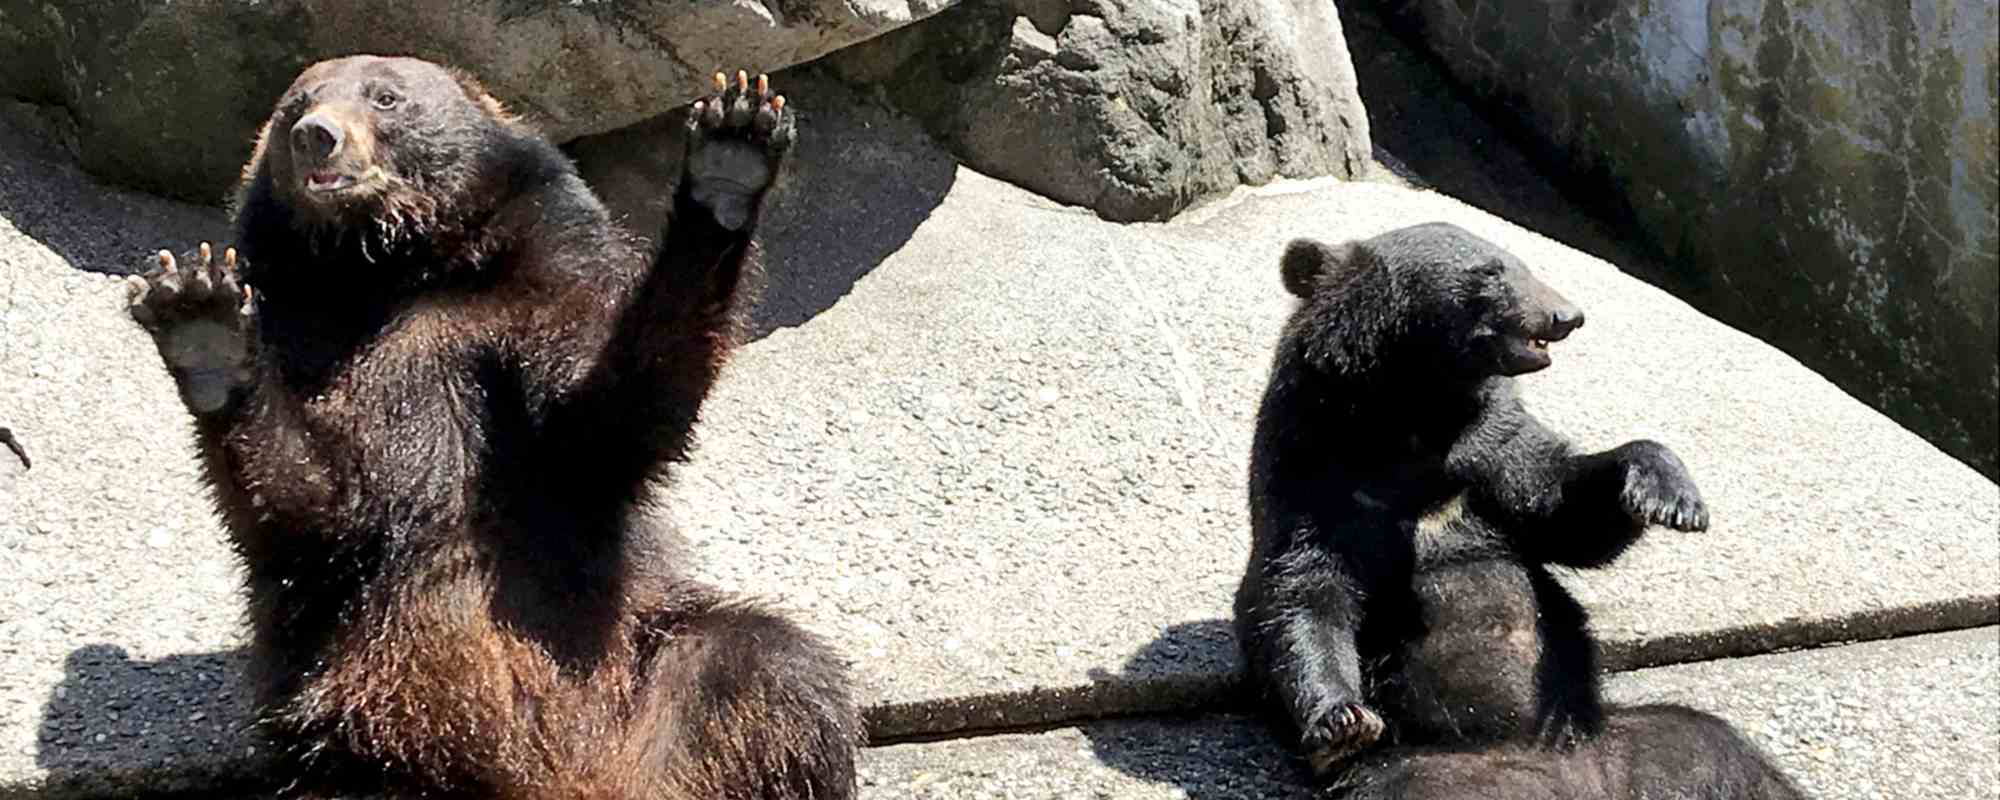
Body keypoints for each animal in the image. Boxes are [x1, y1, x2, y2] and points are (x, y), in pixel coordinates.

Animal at [123, 57, 860, 800]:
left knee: (764, 668)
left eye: (385, 96)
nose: (317, 137)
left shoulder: (546, 283)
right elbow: (316, 506)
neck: (402, 266)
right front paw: (202, 319)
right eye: (294, 106)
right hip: (349, 735)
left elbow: (612, 416)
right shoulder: (311, 341)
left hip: (641, 665)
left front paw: (732, 150)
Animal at [1224, 222, 1808, 796]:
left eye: (1522, 260)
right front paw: (1342, 720)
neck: (1414, 415)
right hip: (1427, 776)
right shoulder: (1314, 469)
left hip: (1641, 744)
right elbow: (1302, 591)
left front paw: (1667, 493)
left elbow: (1559, 508)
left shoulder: (1489, 445)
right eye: (1491, 271)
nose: (1567, 314)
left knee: (1721, 756)